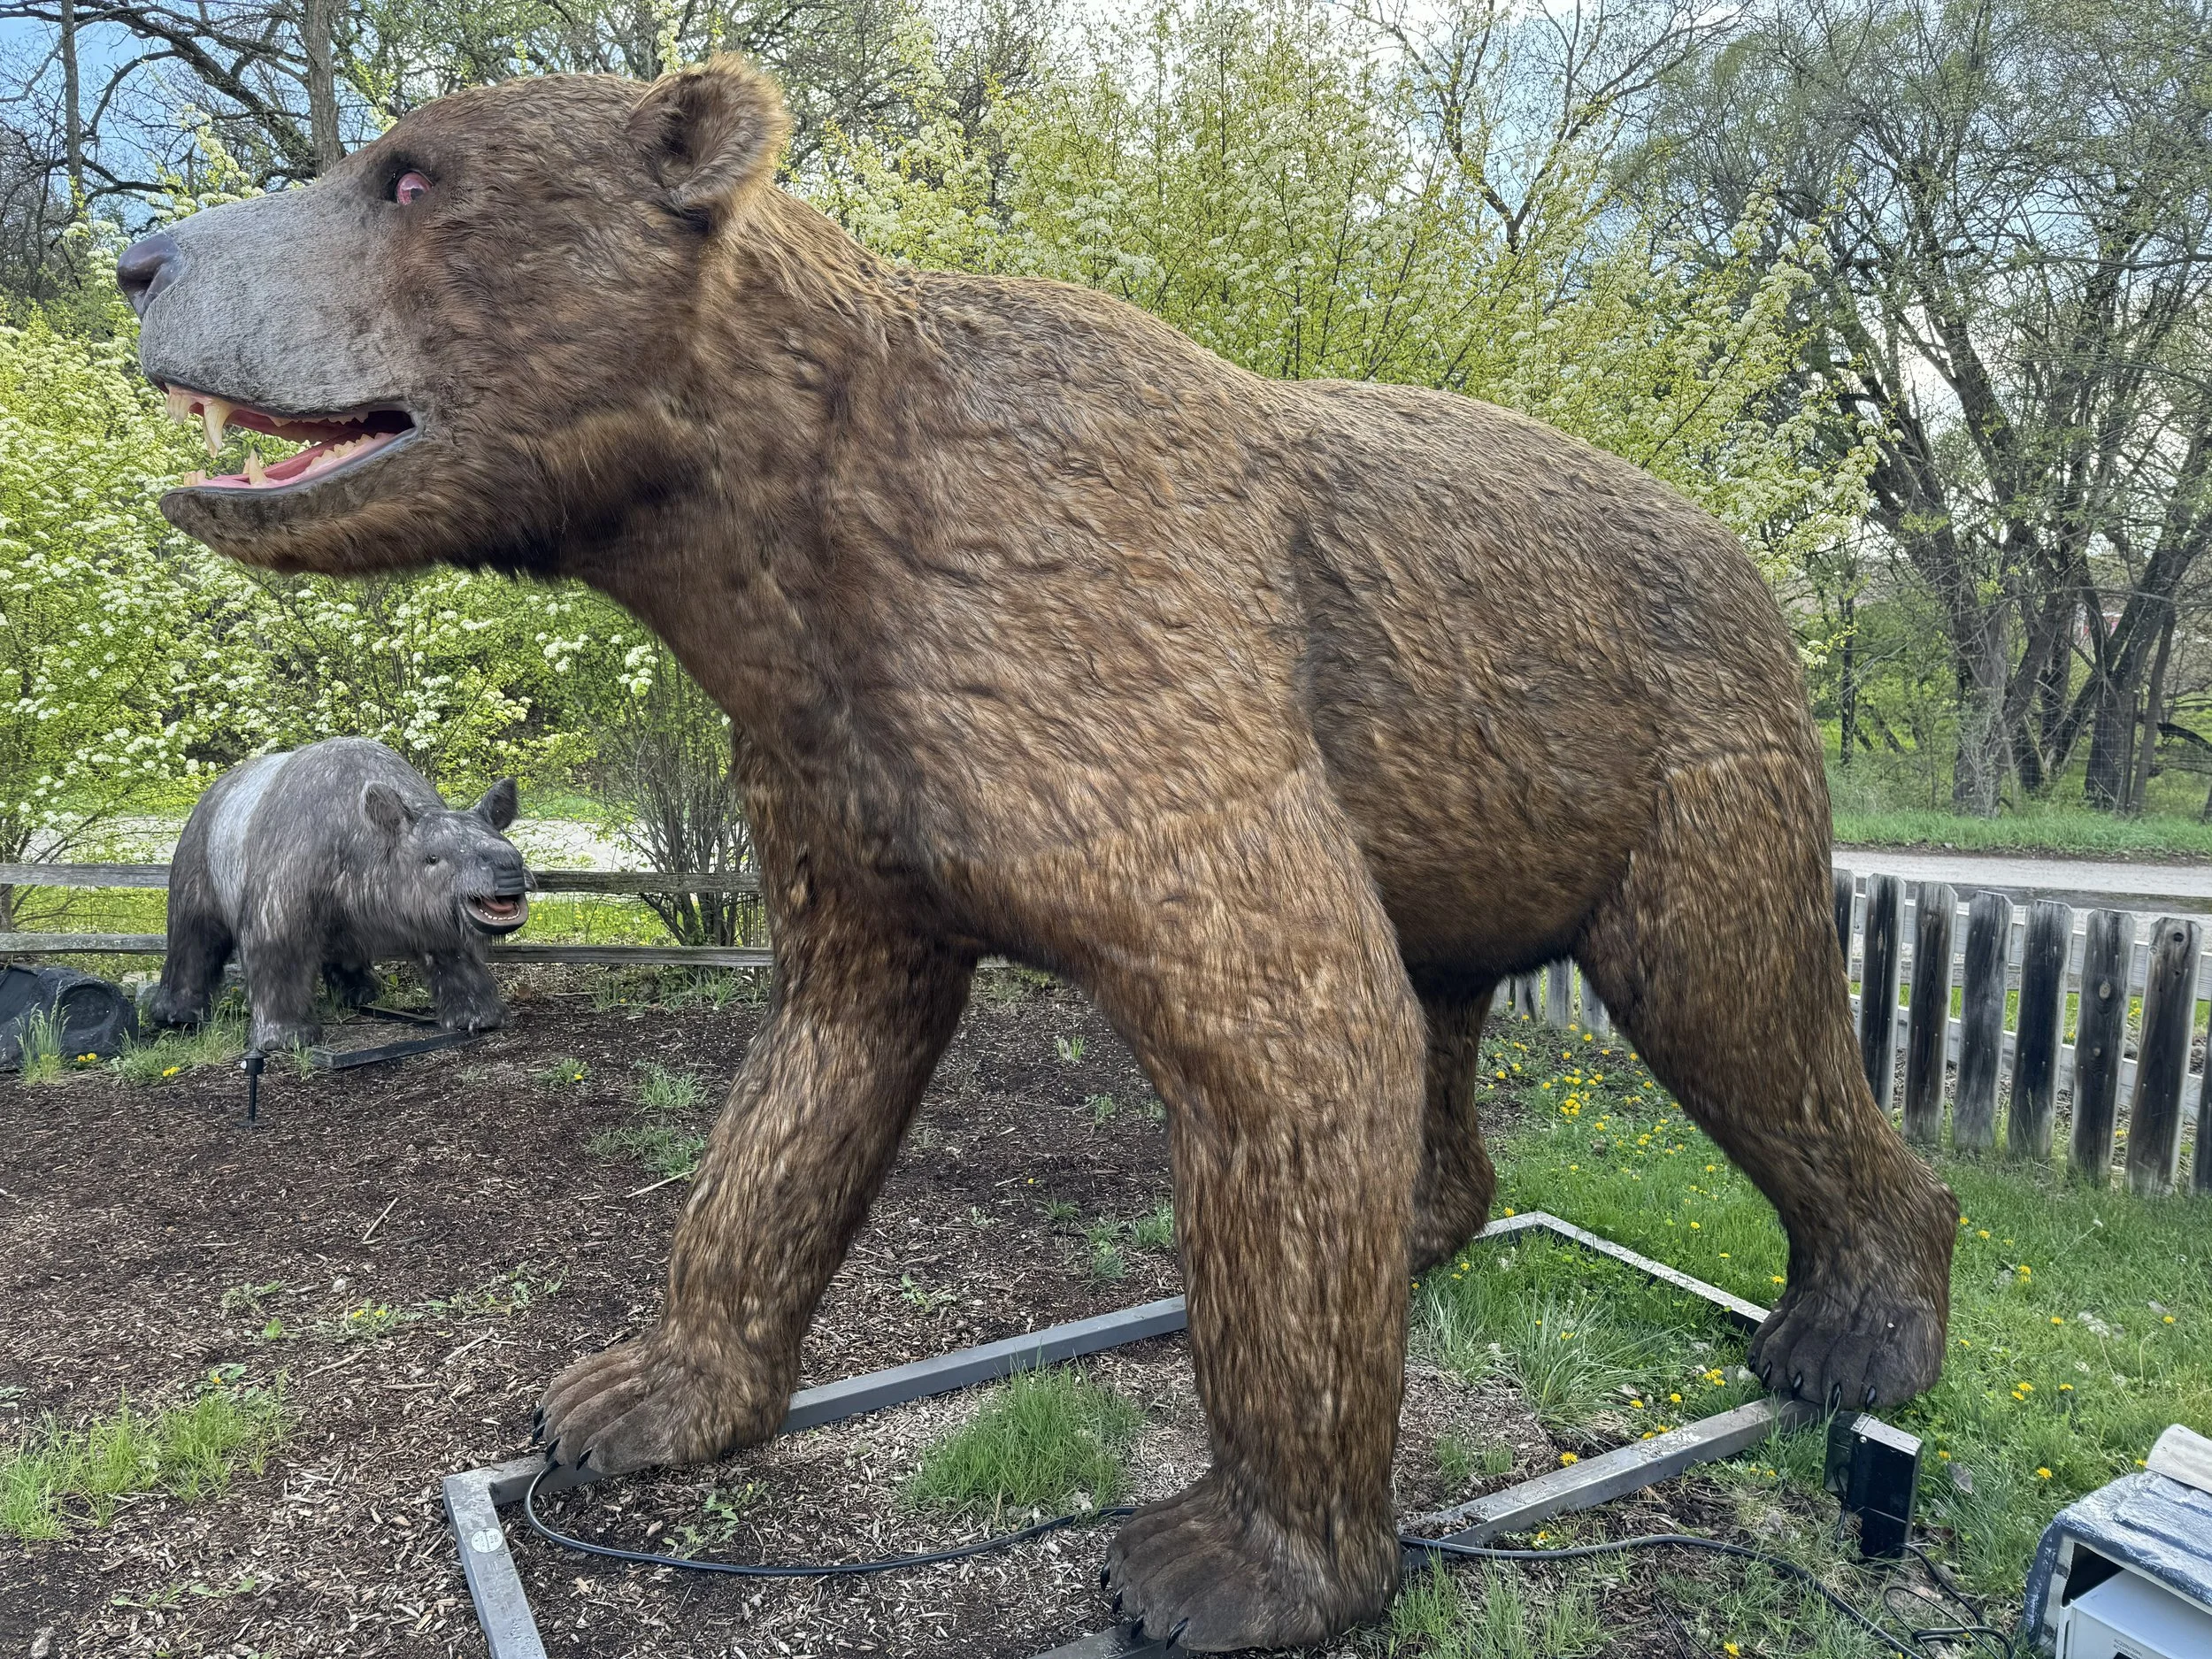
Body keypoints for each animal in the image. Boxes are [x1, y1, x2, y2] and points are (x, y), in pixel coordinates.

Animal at [146, 737, 528, 1053]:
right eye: (432, 858)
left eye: (511, 847)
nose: (507, 867)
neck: (368, 842)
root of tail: (214, 789)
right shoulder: (276, 906)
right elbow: (275, 954)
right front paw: (285, 1040)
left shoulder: (429, 908)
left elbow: (455, 956)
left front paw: (479, 1018)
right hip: (197, 847)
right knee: (193, 933)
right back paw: (178, 1017)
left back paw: (360, 997)